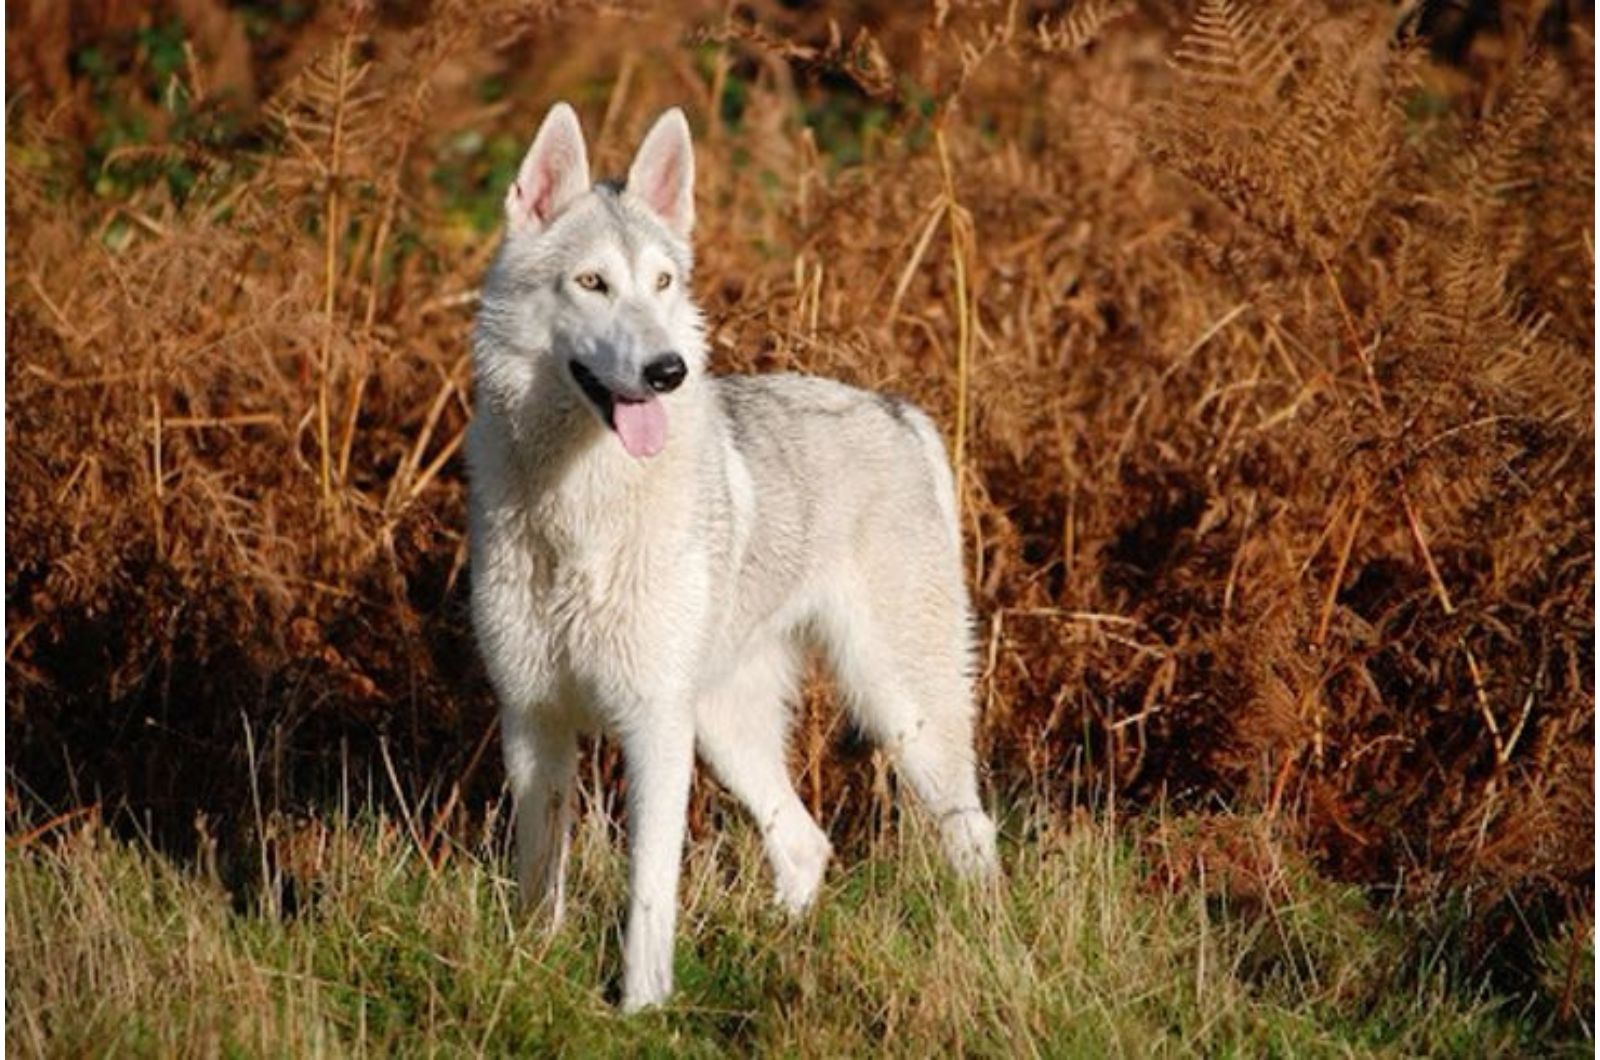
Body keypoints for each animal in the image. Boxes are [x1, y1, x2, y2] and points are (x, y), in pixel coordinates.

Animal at [467, 101, 998, 1011]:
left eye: (663, 284)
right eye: (592, 283)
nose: (668, 371)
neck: (577, 509)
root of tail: (899, 411)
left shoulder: (652, 727)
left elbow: (650, 892)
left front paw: (641, 1009)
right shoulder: (534, 719)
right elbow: (540, 880)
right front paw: (527, 975)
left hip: (902, 717)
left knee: (973, 835)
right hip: (726, 728)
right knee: (807, 844)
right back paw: (776, 950)